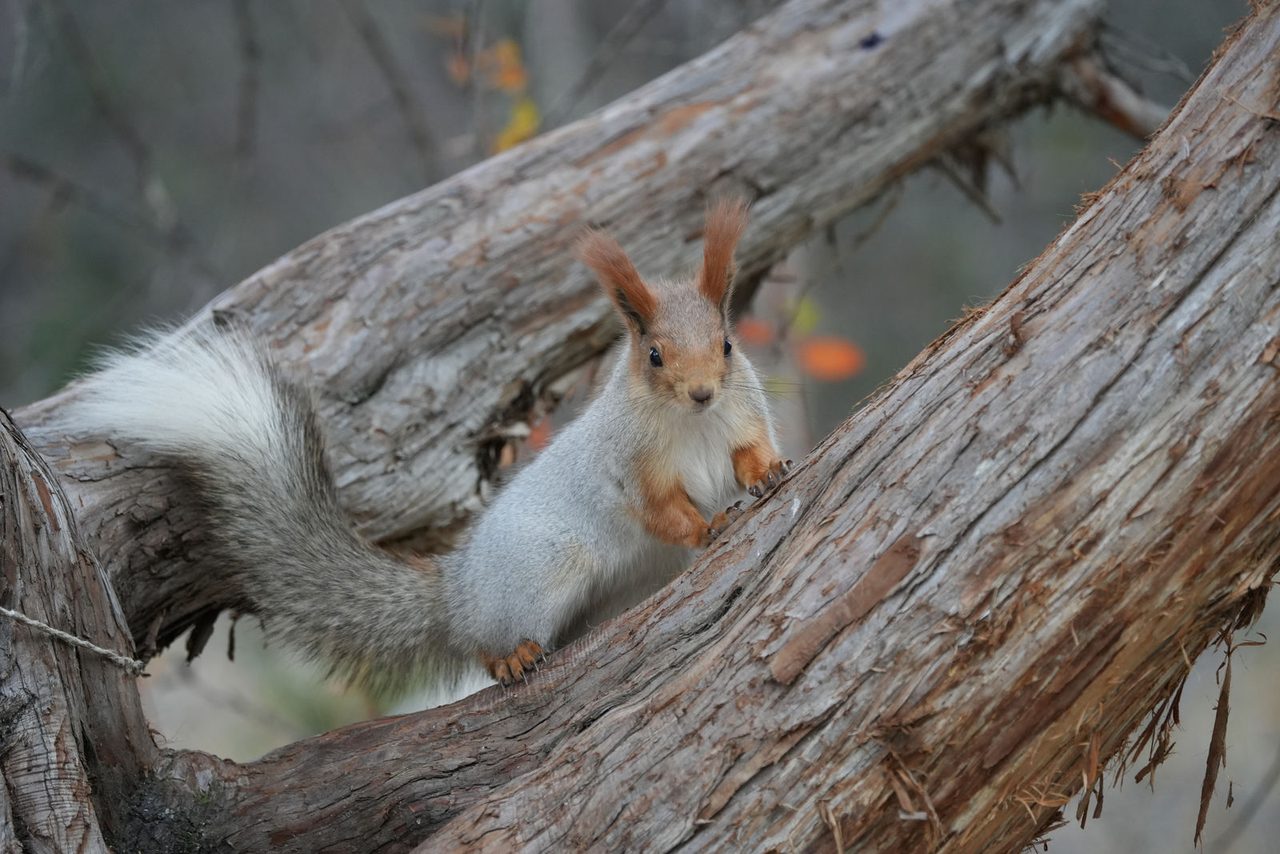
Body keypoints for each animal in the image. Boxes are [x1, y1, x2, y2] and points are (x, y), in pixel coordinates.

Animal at [70, 198, 789, 690]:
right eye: (655, 355)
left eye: (727, 344)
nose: (702, 392)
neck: (692, 424)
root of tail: (458, 591)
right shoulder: (630, 464)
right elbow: (661, 510)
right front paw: (706, 527)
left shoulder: (742, 415)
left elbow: (747, 454)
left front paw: (769, 473)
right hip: (537, 577)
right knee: (484, 645)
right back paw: (511, 656)